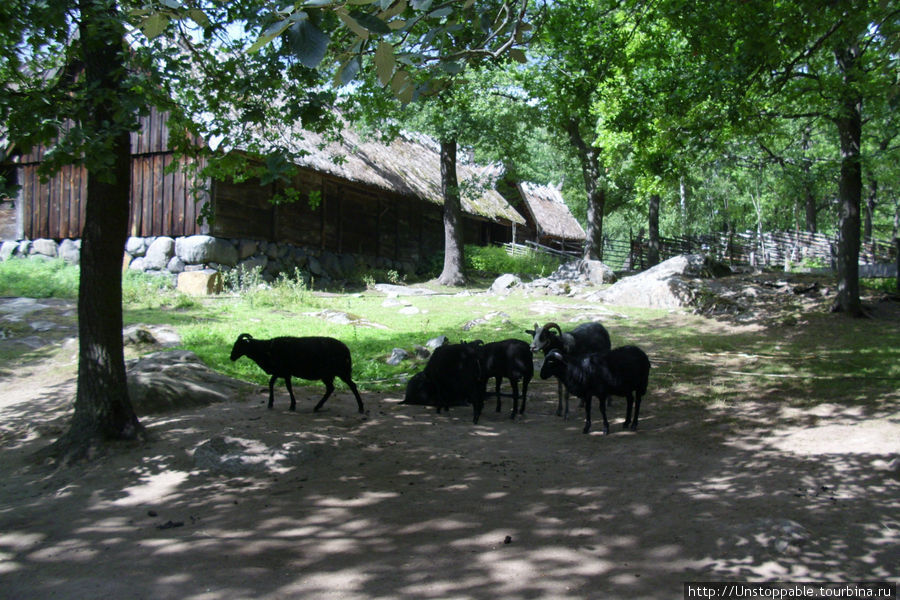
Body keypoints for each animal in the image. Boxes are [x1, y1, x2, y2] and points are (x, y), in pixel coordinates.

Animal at [232, 332, 366, 412]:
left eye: (238, 345)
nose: (231, 357)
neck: (266, 349)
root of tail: (347, 350)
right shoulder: (279, 372)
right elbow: (271, 384)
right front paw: (270, 403)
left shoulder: (285, 372)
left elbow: (288, 387)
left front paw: (292, 405)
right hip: (329, 374)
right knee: (331, 388)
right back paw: (317, 407)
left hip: (339, 371)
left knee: (351, 386)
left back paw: (360, 407)